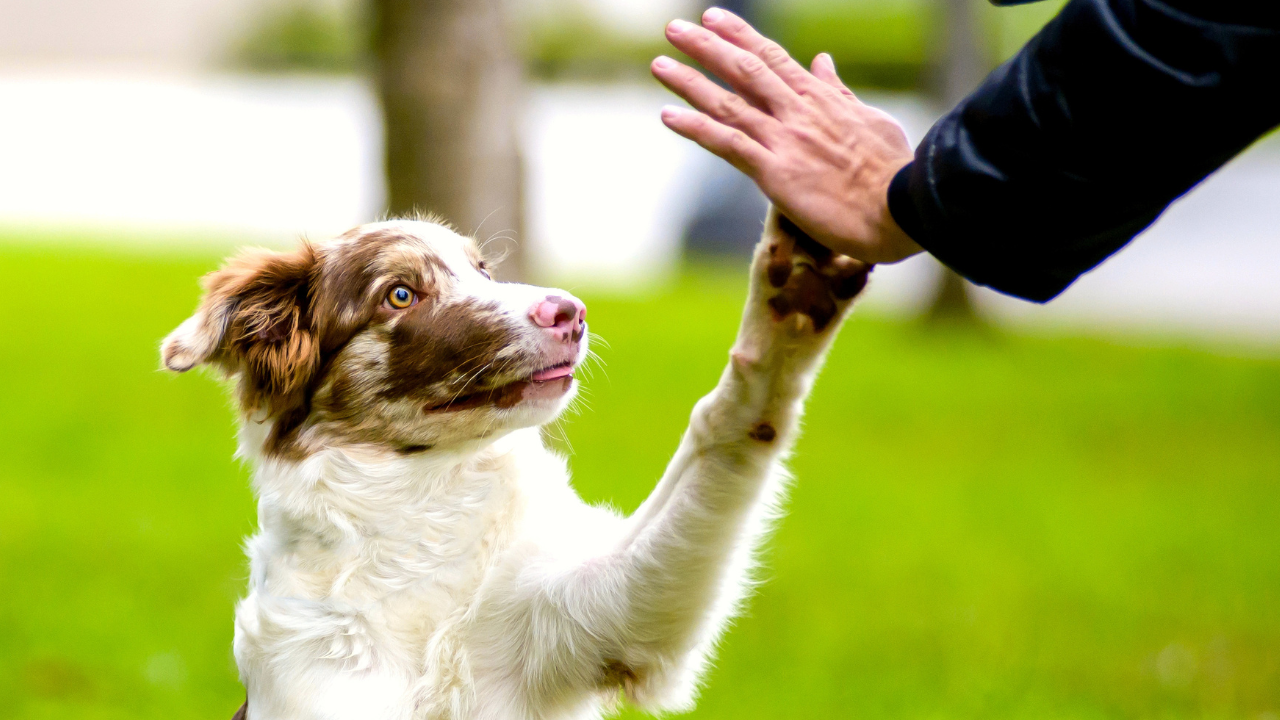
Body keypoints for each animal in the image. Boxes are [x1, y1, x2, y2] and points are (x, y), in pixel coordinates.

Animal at [157, 208, 860, 717]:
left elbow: (723, 429)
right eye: (401, 294)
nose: (571, 311)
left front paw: (789, 305)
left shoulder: (603, 616)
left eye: (483, 269)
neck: (420, 509)